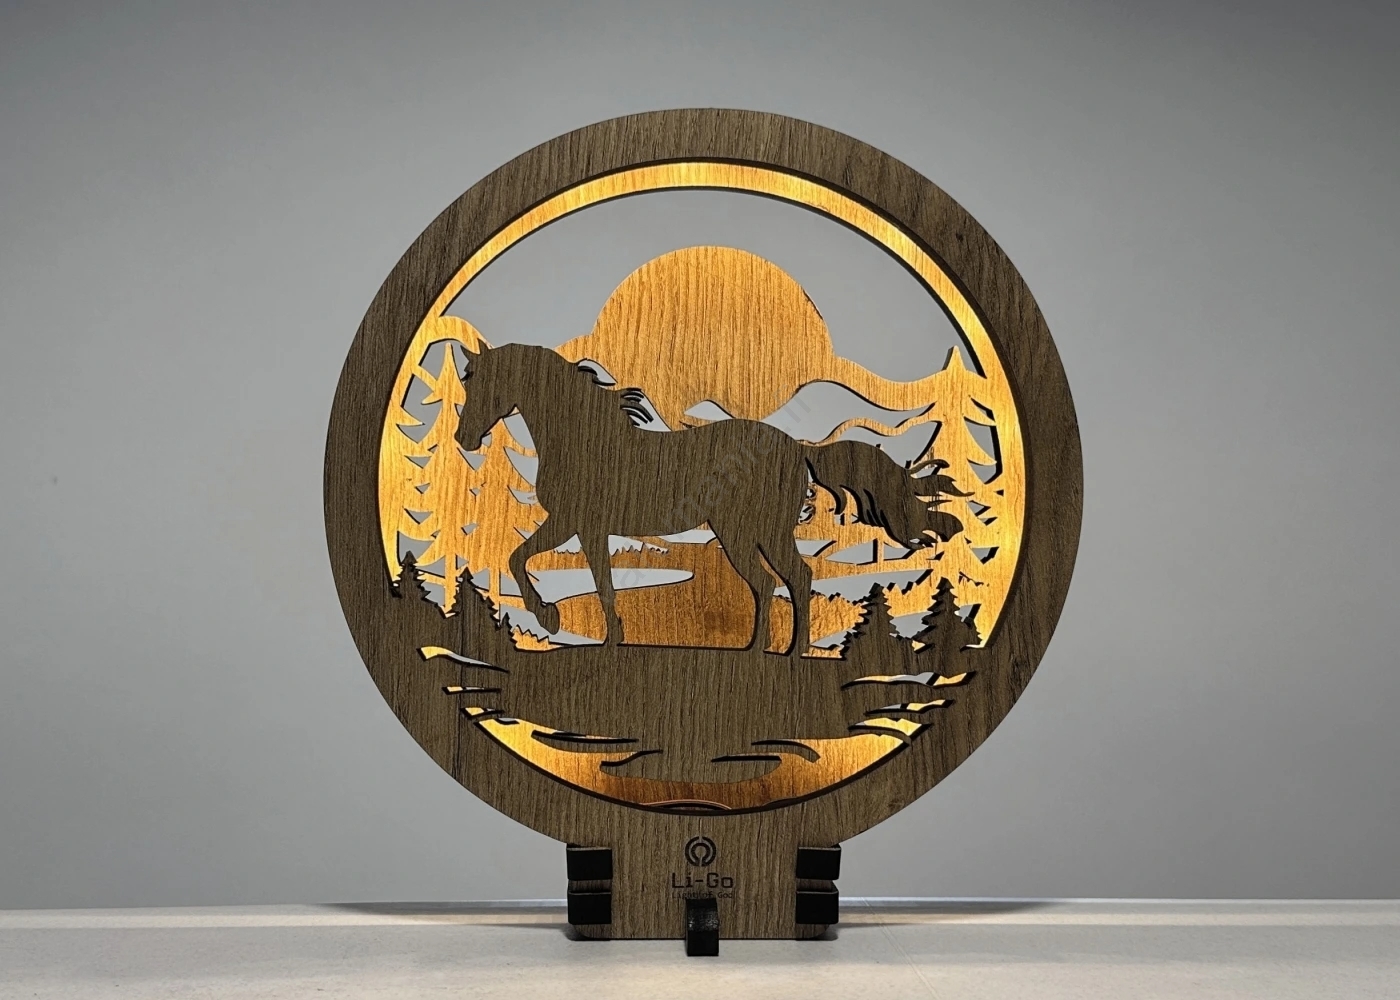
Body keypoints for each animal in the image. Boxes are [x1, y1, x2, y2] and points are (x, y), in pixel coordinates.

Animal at [454, 343, 963, 654]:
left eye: (479, 380)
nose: (464, 438)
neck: (582, 435)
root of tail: (799, 449)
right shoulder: (584, 526)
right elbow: (588, 577)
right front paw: (601, 635)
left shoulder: (574, 521)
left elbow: (535, 562)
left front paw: (553, 620)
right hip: (750, 533)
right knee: (777, 581)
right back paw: (763, 649)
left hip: (747, 532)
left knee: (789, 578)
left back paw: (786, 653)